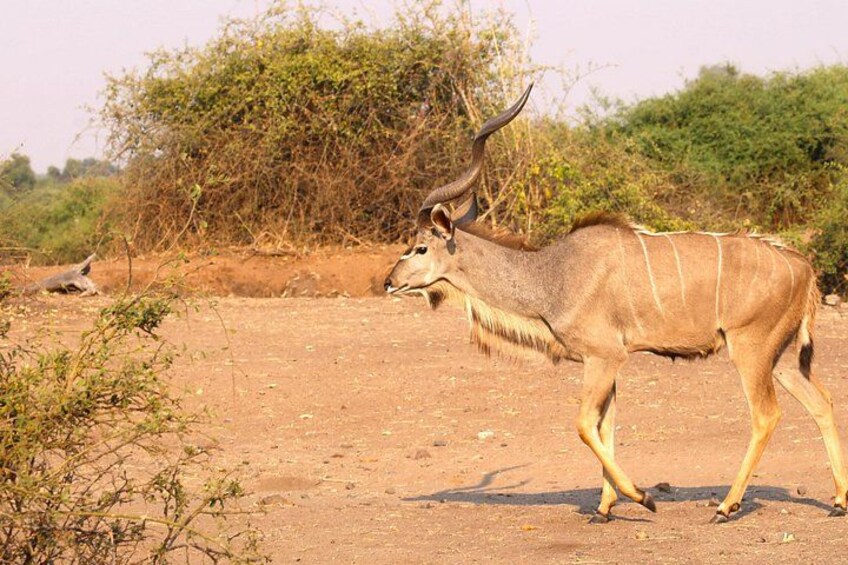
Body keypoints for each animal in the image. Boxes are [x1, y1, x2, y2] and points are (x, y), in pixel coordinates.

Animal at [384, 84, 848, 523]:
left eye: (420, 247)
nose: (389, 282)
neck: (552, 274)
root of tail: (804, 267)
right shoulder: (607, 363)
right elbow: (605, 427)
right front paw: (605, 509)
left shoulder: (604, 357)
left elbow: (584, 425)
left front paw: (642, 497)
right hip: (781, 358)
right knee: (821, 401)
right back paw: (839, 501)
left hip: (750, 350)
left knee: (767, 415)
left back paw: (726, 506)